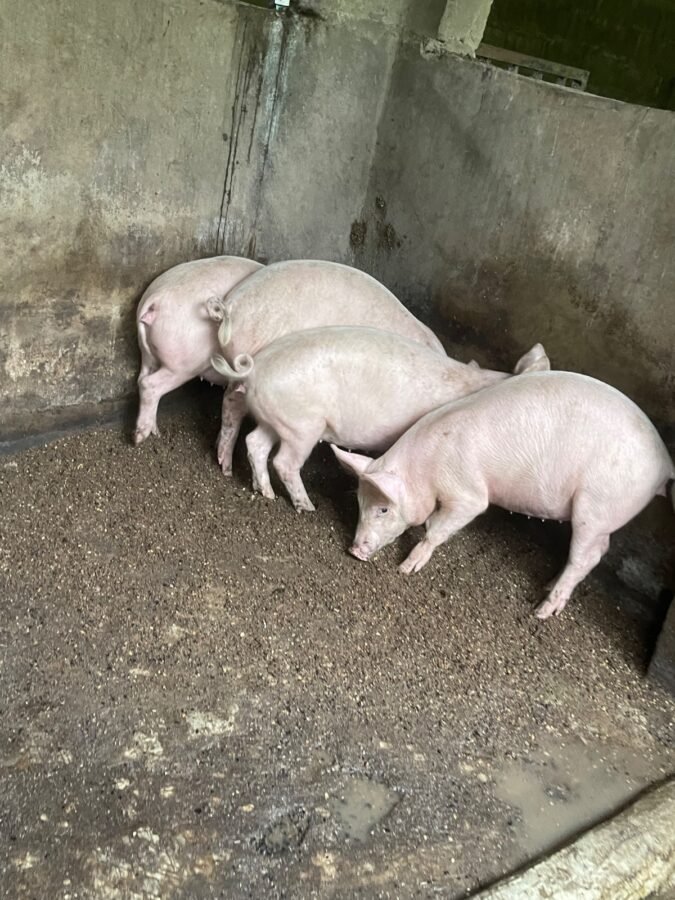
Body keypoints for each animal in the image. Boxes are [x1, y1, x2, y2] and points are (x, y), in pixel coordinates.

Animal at [134, 255, 264, 445]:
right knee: (149, 384)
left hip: (147, 352)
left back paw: (154, 431)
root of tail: (156, 299)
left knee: (141, 378)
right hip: (182, 364)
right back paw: (141, 437)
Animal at [210, 325, 549, 511]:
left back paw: (264, 493)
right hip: (303, 426)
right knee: (284, 462)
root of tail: (255, 370)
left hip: (279, 419)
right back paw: (307, 507)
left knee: (255, 444)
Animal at [332, 371, 675, 619]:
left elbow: (438, 527)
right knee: (597, 552)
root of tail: (663, 461)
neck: (426, 467)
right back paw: (548, 586)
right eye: (360, 503)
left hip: (597, 507)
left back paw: (542, 611)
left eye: (384, 509)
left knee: (586, 556)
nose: (354, 550)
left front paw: (406, 568)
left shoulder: (467, 491)